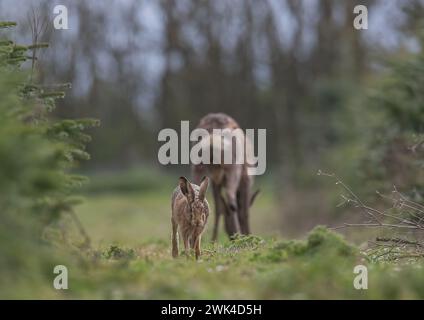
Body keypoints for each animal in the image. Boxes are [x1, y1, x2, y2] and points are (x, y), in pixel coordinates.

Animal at [191, 112, 258, 240]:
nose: (232, 236)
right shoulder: (246, 180)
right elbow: (244, 212)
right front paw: (248, 236)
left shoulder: (216, 181)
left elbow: (218, 208)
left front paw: (213, 240)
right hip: (232, 168)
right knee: (231, 201)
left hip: (198, 167)